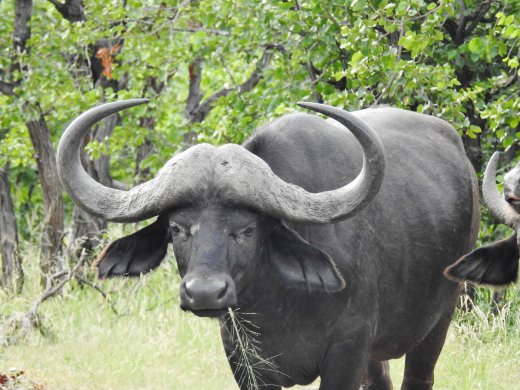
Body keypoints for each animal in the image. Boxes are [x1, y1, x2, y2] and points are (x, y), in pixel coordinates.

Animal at [58, 100, 480, 390]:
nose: (204, 292)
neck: (279, 303)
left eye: (247, 230)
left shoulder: (348, 350)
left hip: (440, 318)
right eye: (177, 228)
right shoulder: (243, 358)